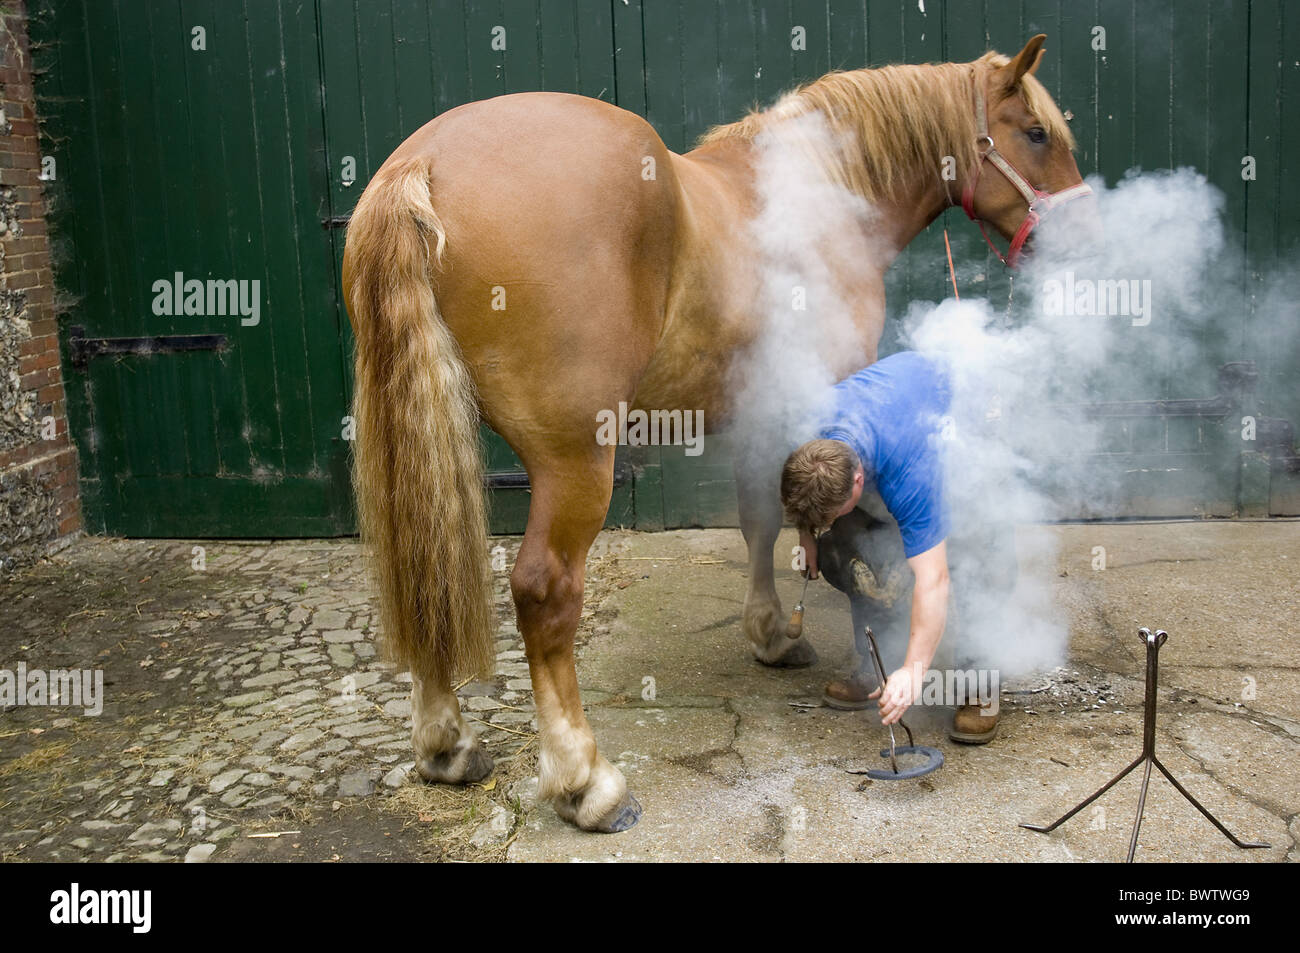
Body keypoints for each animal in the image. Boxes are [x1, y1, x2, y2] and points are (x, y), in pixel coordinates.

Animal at [342, 35, 1094, 832]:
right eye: (1036, 133)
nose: (1085, 236)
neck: (825, 192)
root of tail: (423, 165)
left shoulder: (761, 411)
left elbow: (759, 518)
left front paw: (770, 632)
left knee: (424, 572)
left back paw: (446, 746)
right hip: (575, 461)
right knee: (544, 592)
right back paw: (587, 782)